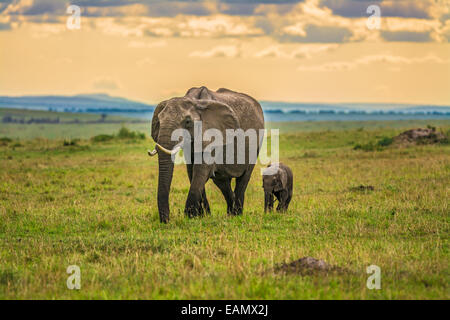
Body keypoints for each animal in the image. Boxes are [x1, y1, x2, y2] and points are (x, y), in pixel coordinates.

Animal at [149, 86, 266, 224]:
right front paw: (202, 216)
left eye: (187, 122)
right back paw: (230, 213)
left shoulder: (213, 133)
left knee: (243, 178)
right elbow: (192, 172)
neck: (194, 101)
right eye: (159, 121)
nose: (166, 220)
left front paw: (190, 217)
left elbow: (201, 171)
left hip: (256, 146)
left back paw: (237, 214)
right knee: (223, 183)